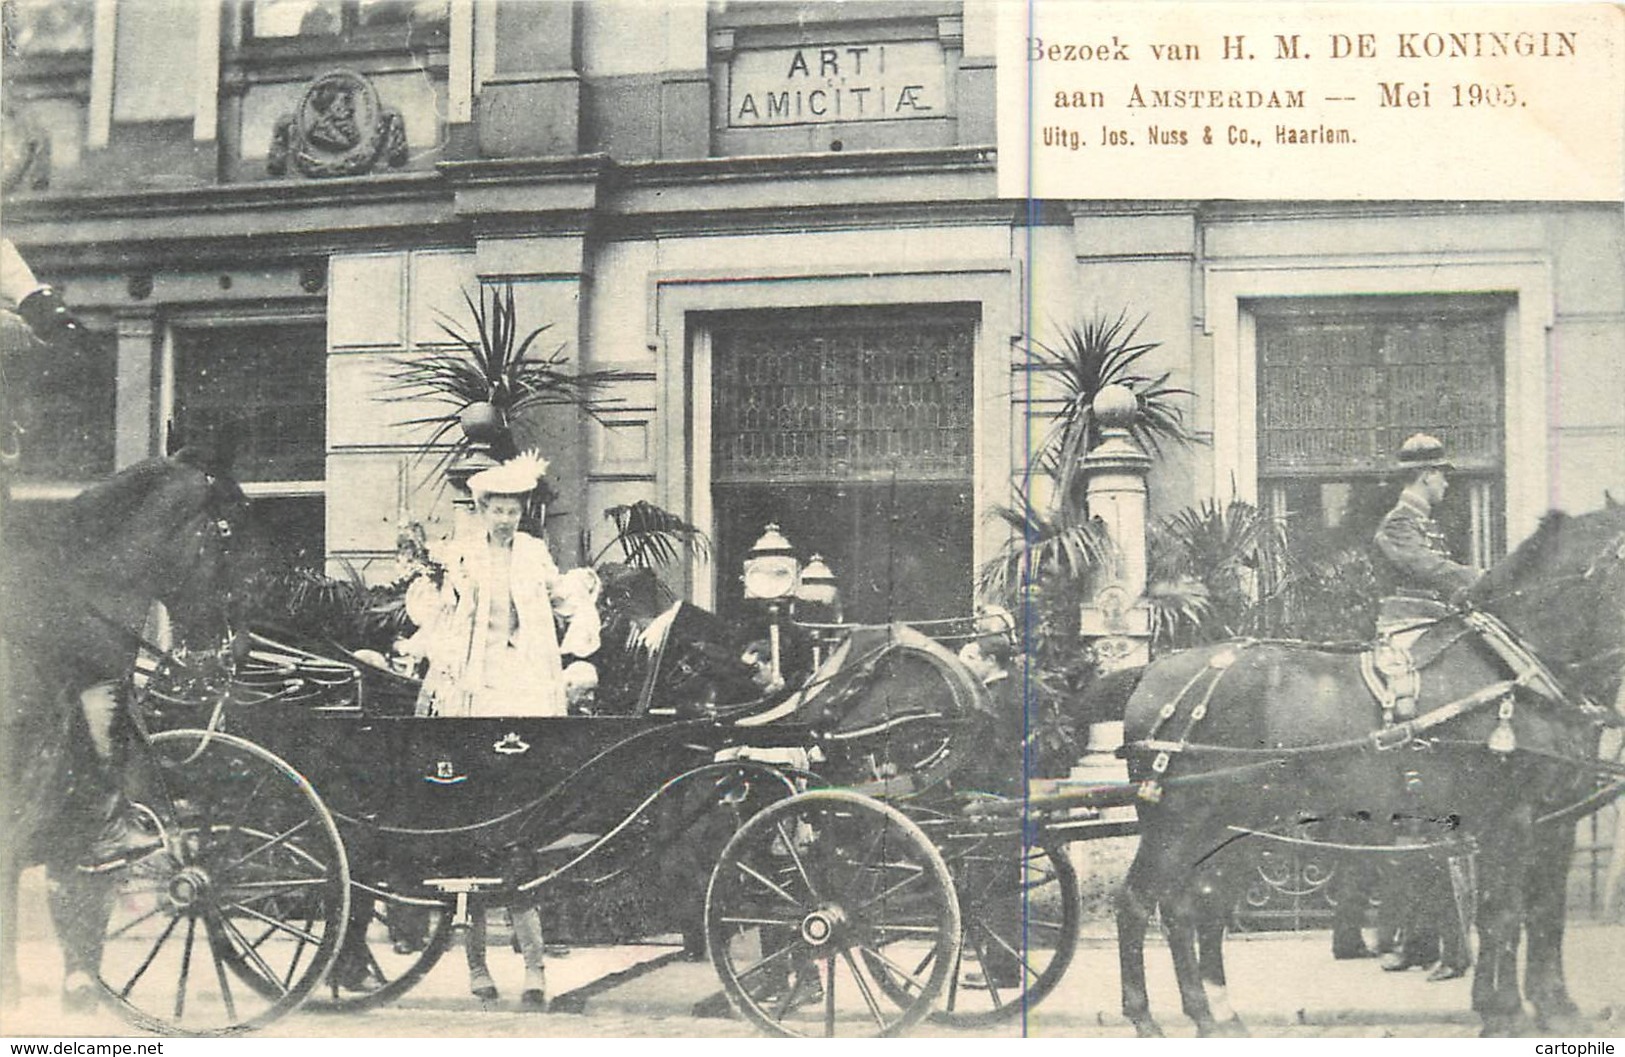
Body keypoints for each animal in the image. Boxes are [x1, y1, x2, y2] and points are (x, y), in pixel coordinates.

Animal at [1098, 500, 1625, 1027]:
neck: (1515, 669)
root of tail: (1152, 670)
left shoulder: (1554, 821)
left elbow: (1545, 913)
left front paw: (1554, 1007)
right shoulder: (1510, 820)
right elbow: (1504, 915)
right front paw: (1507, 1013)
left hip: (1232, 826)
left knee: (1197, 906)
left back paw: (1217, 1019)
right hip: (1177, 825)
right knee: (1144, 902)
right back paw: (1151, 1019)